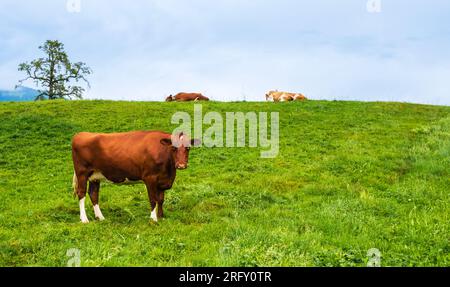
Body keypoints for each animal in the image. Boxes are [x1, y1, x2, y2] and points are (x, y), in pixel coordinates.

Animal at [71, 132, 199, 224]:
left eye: (188, 148)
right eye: (173, 148)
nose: (181, 165)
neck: (169, 171)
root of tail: (81, 134)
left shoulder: (162, 181)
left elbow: (161, 199)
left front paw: (161, 216)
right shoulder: (150, 178)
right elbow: (153, 199)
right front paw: (153, 218)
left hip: (95, 176)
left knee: (93, 194)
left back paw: (100, 217)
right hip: (82, 173)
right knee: (81, 193)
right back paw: (84, 219)